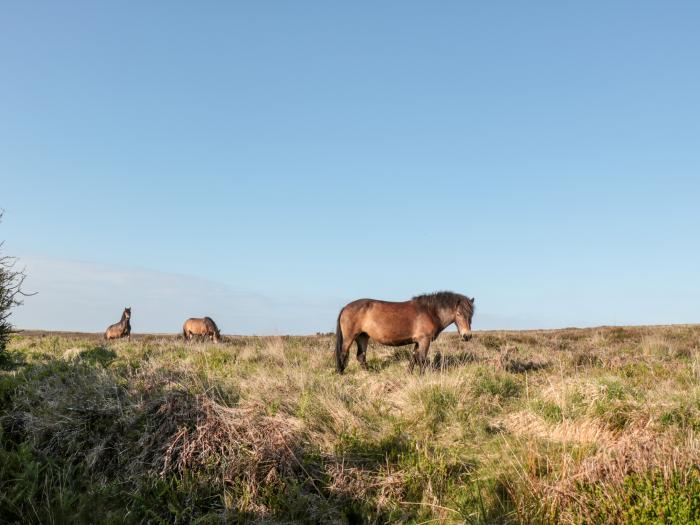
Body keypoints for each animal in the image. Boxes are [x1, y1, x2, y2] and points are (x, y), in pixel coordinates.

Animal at [334, 290, 476, 372]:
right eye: (458, 314)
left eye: (471, 314)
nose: (467, 336)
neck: (430, 312)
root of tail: (346, 307)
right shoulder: (424, 340)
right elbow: (422, 360)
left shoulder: (418, 341)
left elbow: (414, 358)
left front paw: (409, 373)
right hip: (349, 337)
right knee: (343, 354)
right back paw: (341, 374)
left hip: (363, 336)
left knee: (361, 356)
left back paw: (370, 373)